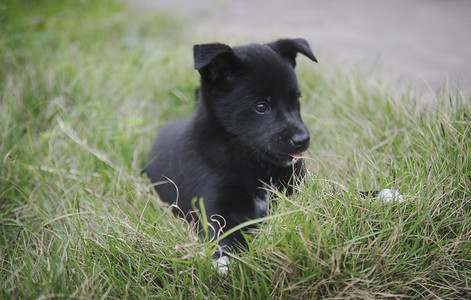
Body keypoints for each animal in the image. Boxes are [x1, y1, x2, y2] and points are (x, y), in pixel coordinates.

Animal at [145, 38, 318, 274]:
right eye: (261, 106)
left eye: (295, 101)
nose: (303, 140)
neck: (254, 165)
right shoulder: (216, 204)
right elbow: (225, 234)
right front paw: (225, 261)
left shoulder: (296, 190)